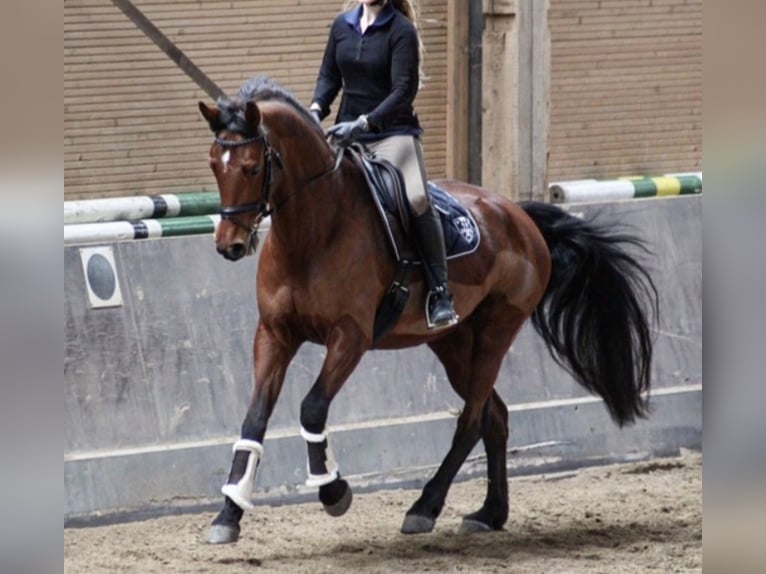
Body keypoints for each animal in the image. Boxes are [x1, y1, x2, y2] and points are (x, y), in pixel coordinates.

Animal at [198, 76, 660, 544]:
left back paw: (425, 507)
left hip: (495, 332)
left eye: (252, 168)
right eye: (215, 165)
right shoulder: (275, 333)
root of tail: (519, 215)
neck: (312, 233)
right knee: (494, 416)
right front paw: (228, 514)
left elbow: (312, 407)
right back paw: (489, 513)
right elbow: (254, 419)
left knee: (472, 421)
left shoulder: (350, 336)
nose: (229, 246)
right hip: (453, 343)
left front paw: (334, 492)